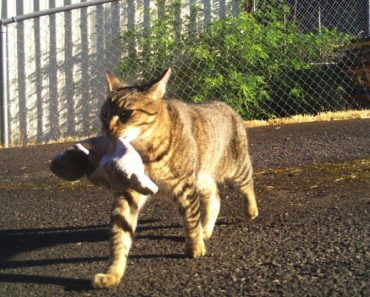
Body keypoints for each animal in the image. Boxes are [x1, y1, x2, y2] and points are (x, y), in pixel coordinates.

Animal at [93, 69, 258, 286]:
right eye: (104, 115)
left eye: (125, 114)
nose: (106, 130)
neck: (145, 153)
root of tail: (226, 105)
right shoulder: (129, 190)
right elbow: (120, 234)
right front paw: (113, 272)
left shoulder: (185, 186)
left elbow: (190, 218)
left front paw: (195, 247)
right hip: (202, 178)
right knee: (215, 198)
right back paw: (206, 229)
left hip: (235, 167)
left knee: (247, 183)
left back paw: (250, 210)